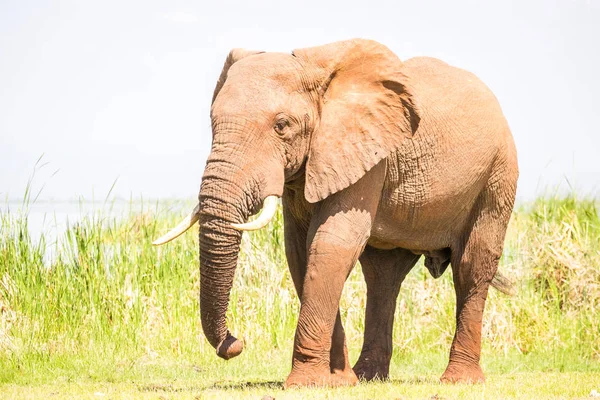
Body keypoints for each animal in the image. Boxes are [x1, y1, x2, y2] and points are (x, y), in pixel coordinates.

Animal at [152, 38, 516, 388]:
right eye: (212, 123)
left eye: (281, 126)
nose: (235, 344)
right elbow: (300, 252)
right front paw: (337, 382)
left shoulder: (366, 151)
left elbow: (331, 242)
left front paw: (304, 384)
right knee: (383, 276)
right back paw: (368, 377)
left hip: (498, 175)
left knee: (471, 266)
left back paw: (460, 380)